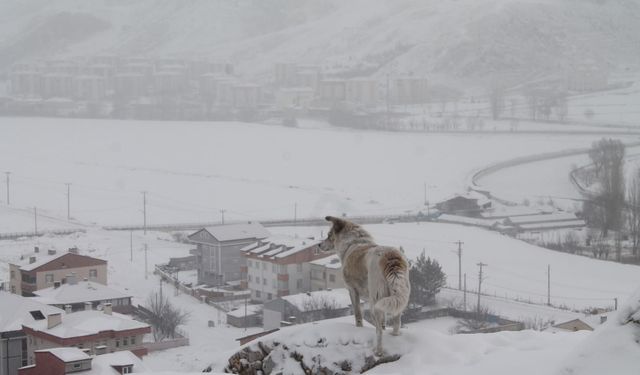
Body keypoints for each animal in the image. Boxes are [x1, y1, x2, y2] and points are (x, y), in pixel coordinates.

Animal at [318, 217, 410, 356]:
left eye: (329, 235)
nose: (318, 245)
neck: (353, 243)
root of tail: (390, 256)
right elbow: (383, 323)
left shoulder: (352, 291)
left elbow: (358, 315)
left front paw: (358, 328)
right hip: (398, 297)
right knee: (396, 323)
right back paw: (394, 337)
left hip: (375, 302)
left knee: (379, 331)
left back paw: (378, 351)